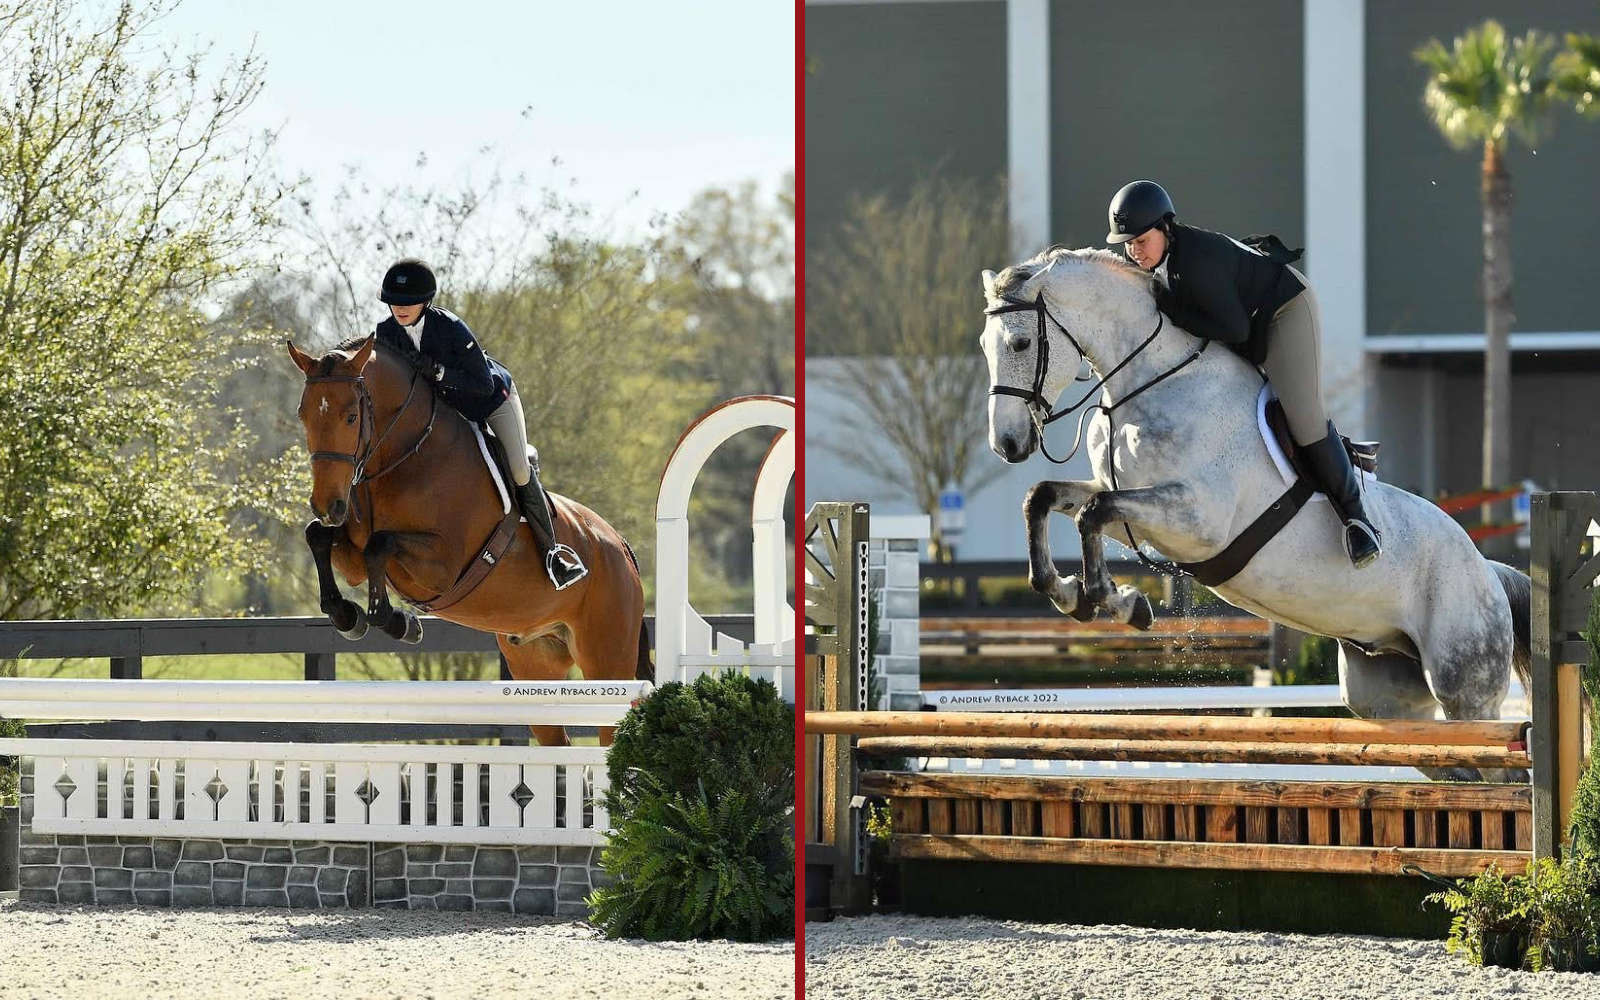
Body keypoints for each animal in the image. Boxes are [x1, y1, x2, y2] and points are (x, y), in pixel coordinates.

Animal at [284, 331, 646, 745]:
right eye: (303, 414)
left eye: (351, 416)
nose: (327, 505)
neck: (405, 456)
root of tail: (622, 548)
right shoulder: (355, 557)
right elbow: (319, 537)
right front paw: (347, 615)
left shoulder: (443, 566)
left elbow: (381, 544)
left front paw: (396, 621)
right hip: (535, 661)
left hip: (607, 659)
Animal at [979, 248, 1529, 780]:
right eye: (985, 345)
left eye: (1022, 344)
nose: (1007, 444)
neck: (1149, 381)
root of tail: (1487, 570)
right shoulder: (1136, 507)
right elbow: (1046, 499)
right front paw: (1086, 597)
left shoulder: (1197, 520)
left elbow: (1091, 513)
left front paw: (1106, 598)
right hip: (1388, 696)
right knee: (1453, 764)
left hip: (1464, 682)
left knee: (1499, 765)